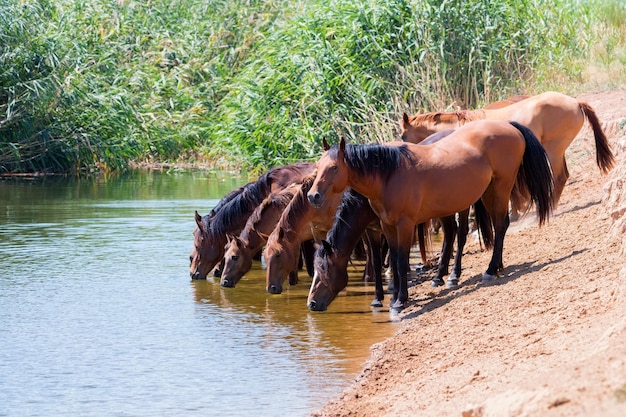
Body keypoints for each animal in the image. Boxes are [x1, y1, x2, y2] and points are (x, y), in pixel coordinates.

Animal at [306, 119, 552, 308]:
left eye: (334, 168)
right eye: (317, 167)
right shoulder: (385, 226)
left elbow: (400, 259)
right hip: (486, 193)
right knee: (492, 226)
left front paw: (400, 300)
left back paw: (484, 271)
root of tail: (508, 125)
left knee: (492, 227)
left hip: (498, 189)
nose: (312, 196)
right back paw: (487, 268)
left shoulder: (405, 224)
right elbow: (389, 259)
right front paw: (390, 297)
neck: (388, 175)